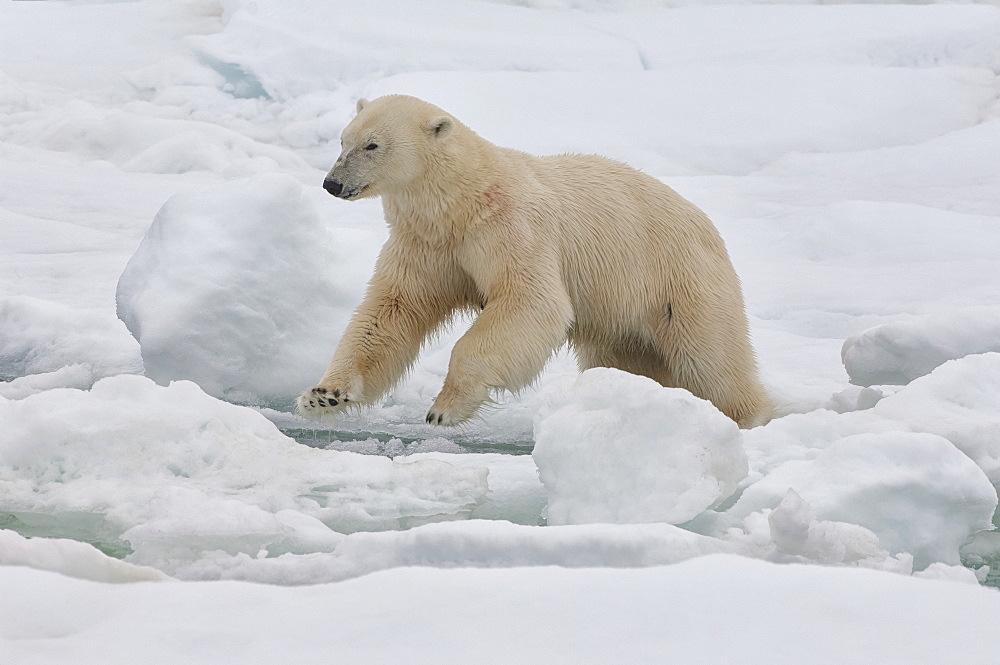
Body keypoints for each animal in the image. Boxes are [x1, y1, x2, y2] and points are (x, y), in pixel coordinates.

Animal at [296, 93, 772, 428]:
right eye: (343, 140)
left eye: (373, 144)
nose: (331, 183)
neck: (462, 202)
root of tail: (705, 224)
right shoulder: (427, 244)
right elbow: (392, 311)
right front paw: (322, 395)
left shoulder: (511, 228)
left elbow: (530, 302)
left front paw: (444, 409)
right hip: (618, 313)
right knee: (625, 357)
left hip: (679, 277)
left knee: (711, 357)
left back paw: (746, 415)